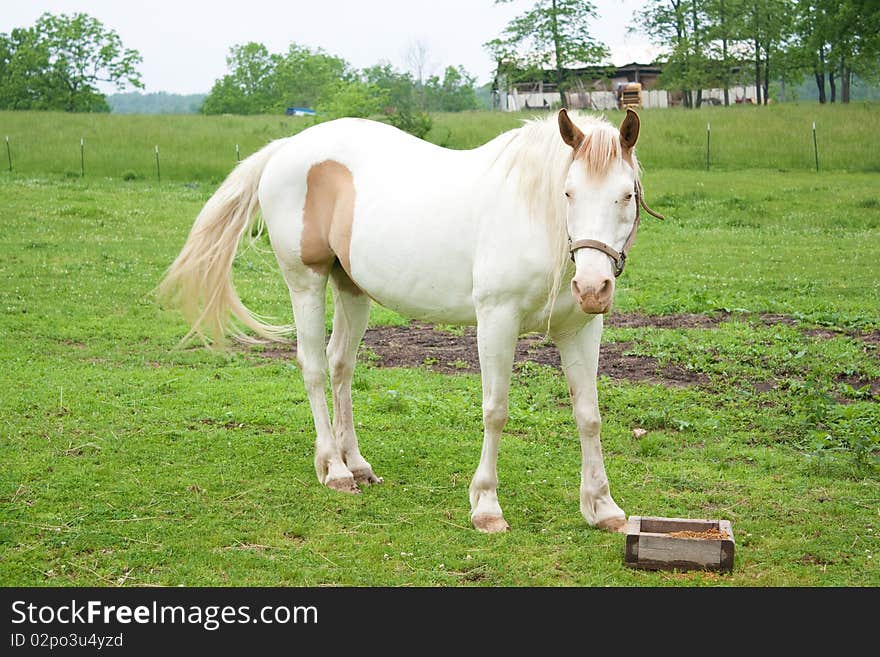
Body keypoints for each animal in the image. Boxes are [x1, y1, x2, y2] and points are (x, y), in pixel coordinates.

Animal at [160, 109, 660, 532]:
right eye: (569, 192)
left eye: (626, 195)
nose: (592, 288)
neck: (536, 218)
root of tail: (287, 148)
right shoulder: (496, 320)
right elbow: (496, 411)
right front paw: (486, 505)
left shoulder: (580, 329)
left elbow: (588, 415)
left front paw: (602, 507)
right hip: (305, 281)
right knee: (314, 367)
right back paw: (334, 468)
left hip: (351, 288)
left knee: (341, 365)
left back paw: (356, 464)